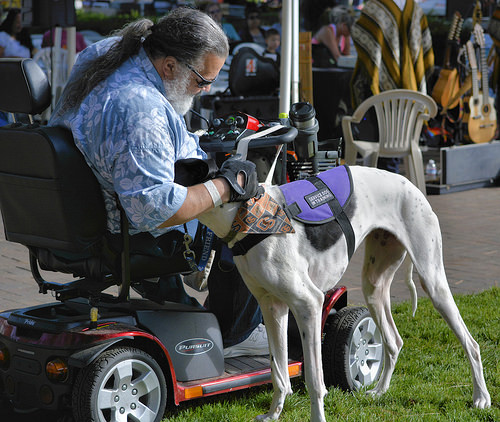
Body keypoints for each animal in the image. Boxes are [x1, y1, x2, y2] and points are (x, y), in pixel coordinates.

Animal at [197, 166, 490, 422]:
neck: (249, 217)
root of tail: (410, 184)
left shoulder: (309, 305)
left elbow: (315, 379)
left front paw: (317, 418)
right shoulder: (272, 308)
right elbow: (278, 373)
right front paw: (273, 415)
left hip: (433, 281)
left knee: (471, 344)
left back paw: (481, 397)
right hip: (374, 288)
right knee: (394, 341)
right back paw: (380, 391)